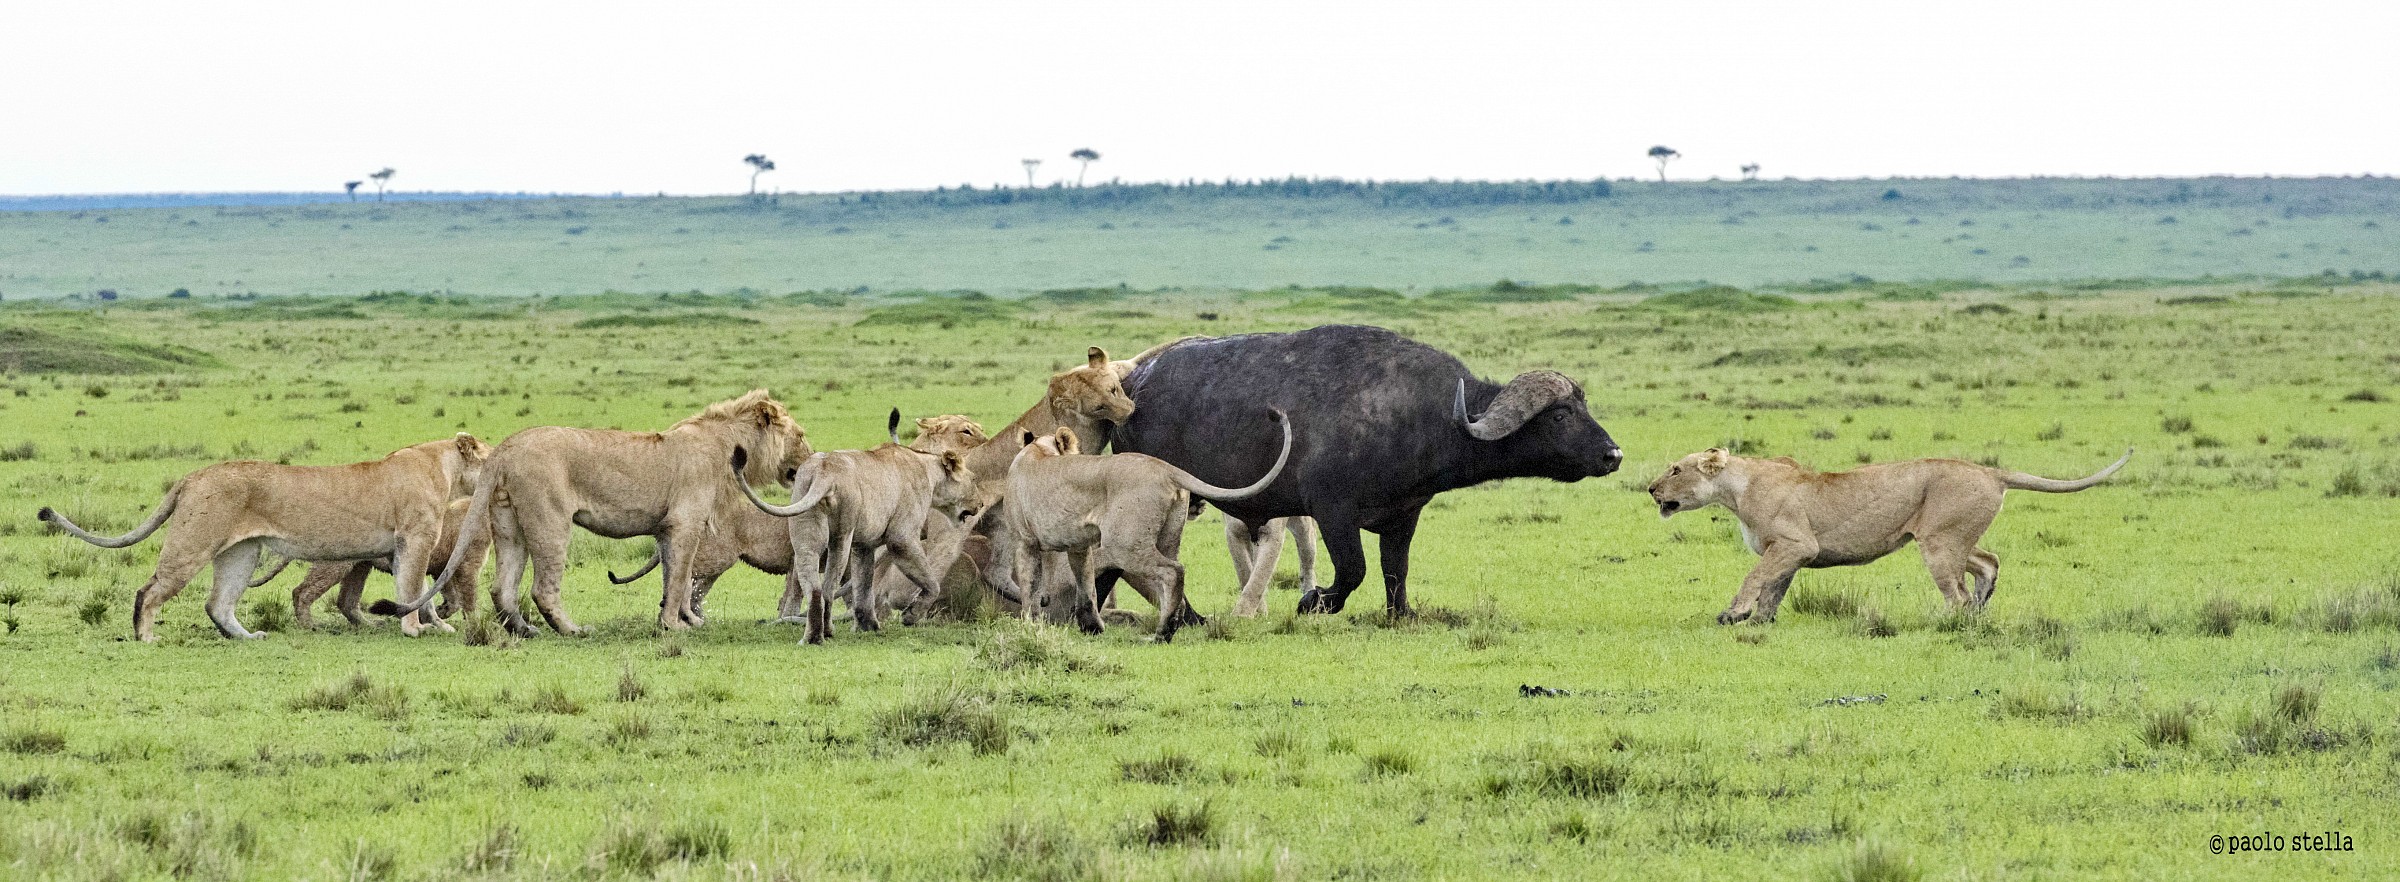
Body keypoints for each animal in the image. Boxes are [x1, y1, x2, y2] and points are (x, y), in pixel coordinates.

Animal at [1110, 324, 1622, 616]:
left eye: (1583, 406)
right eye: (1560, 415)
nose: (1613, 455)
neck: (1423, 414)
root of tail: (1134, 383)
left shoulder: (1404, 516)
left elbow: (1396, 571)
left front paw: (1401, 614)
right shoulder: (1333, 511)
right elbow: (1353, 569)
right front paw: (1313, 602)